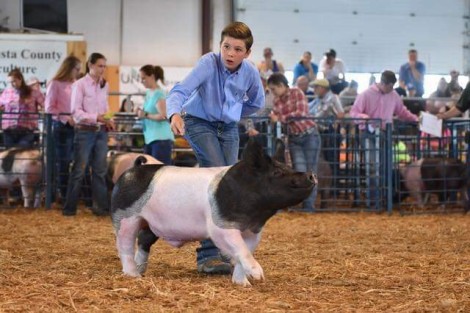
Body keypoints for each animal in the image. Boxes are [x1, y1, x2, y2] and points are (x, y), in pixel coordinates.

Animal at [110, 139, 316, 286]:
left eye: (288, 167)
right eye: (277, 172)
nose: (311, 174)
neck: (255, 215)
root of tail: (132, 169)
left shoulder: (253, 232)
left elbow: (243, 252)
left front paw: (243, 284)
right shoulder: (220, 227)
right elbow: (241, 249)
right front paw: (258, 275)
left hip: (150, 223)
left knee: (143, 241)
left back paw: (141, 270)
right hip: (125, 218)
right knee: (124, 246)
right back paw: (133, 275)